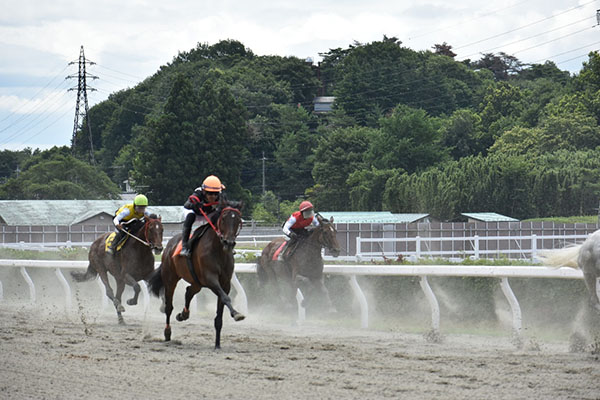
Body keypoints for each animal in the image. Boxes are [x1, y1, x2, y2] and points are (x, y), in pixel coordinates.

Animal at [148, 203, 244, 349]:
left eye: (238, 220)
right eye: (223, 219)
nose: (229, 243)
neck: (218, 250)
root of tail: (169, 245)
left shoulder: (225, 283)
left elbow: (220, 311)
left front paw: (217, 344)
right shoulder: (211, 279)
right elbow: (225, 297)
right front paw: (236, 314)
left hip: (197, 282)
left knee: (189, 291)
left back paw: (184, 314)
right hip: (170, 279)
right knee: (168, 307)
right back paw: (167, 333)